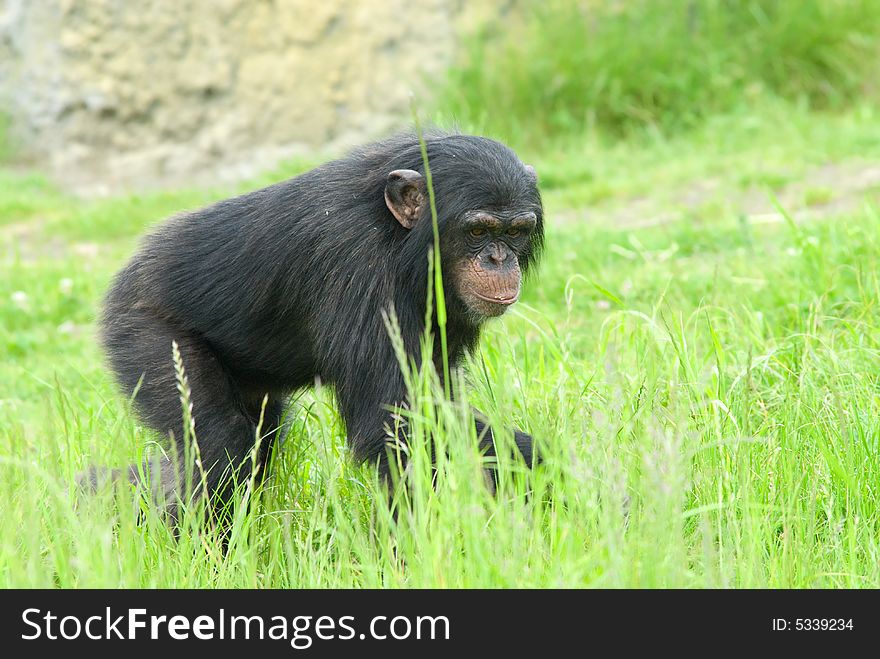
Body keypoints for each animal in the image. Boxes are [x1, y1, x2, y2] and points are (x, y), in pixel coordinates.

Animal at [93, 129, 540, 510]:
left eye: (516, 231)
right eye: (478, 231)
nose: (499, 259)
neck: (402, 240)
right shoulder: (354, 261)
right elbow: (398, 424)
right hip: (146, 333)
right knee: (221, 447)